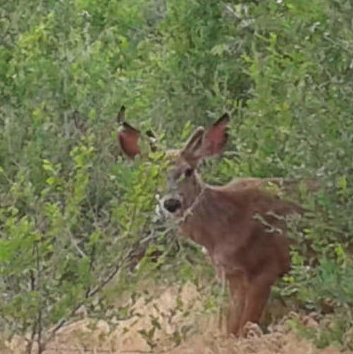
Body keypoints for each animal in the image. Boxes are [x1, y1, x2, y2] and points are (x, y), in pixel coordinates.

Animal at [118, 110, 306, 334]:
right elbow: (232, 327)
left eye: (188, 170)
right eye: (153, 173)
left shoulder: (266, 267)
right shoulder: (231, 275)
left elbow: (245, 327)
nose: (171, 203)